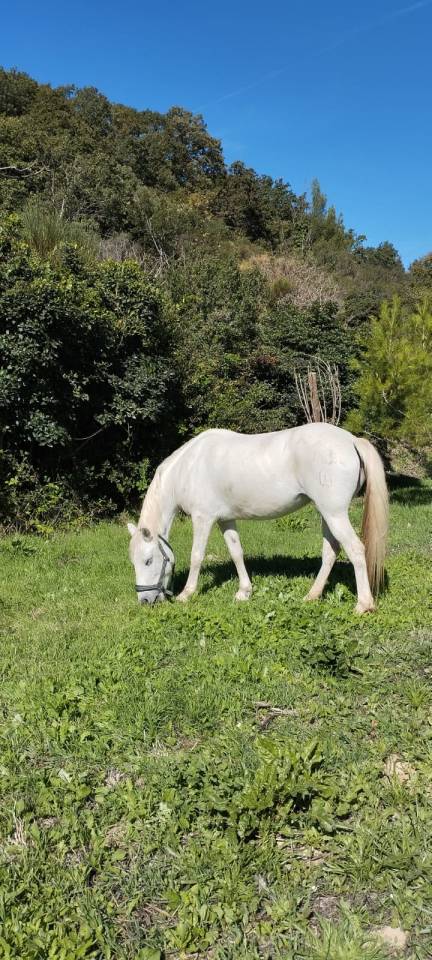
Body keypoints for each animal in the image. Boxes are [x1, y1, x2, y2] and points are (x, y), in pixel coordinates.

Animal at [127, 422, 389, 613]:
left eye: (148, 561)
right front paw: (244, 592)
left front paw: (186, 594)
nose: (145, 601)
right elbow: (236, 552)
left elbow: (196, 556)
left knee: (355, 549)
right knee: (330, 552)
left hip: (335, 514)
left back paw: (363, 605)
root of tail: (351, 440)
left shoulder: (203, 518)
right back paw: (312, 596)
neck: (189, 467)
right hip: (327, 514)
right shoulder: (225, 519)